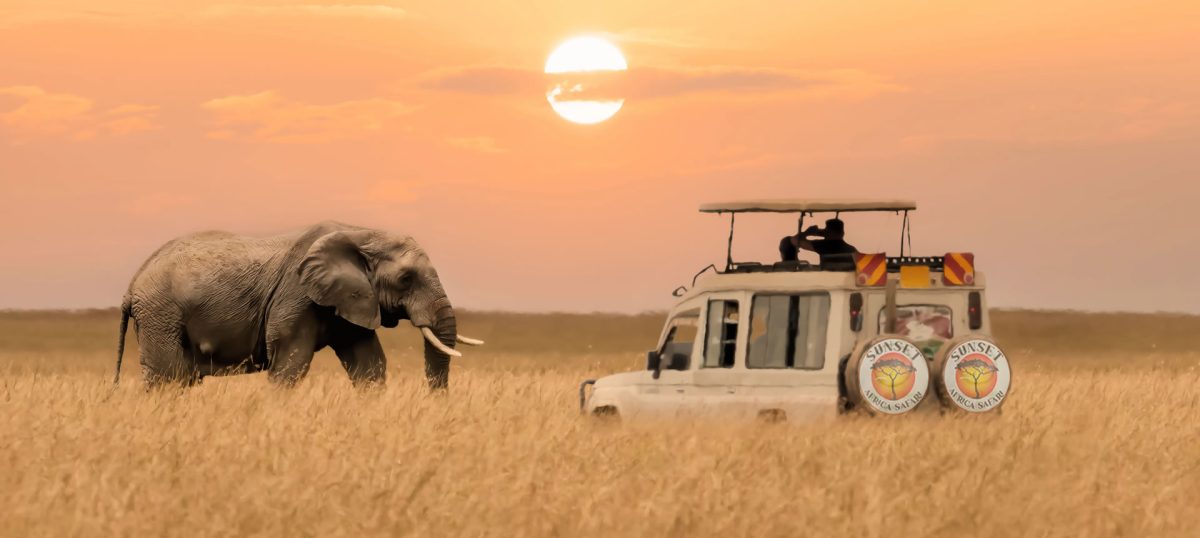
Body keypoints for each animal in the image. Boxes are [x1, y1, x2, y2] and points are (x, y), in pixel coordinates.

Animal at [113, 221, 482, 390]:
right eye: (406, 278)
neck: (360, 233)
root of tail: (132, 285)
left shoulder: (350, 301)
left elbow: (369, 364)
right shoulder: (296, 297)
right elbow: (291, 363)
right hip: (161, 313)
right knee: (168, 378)